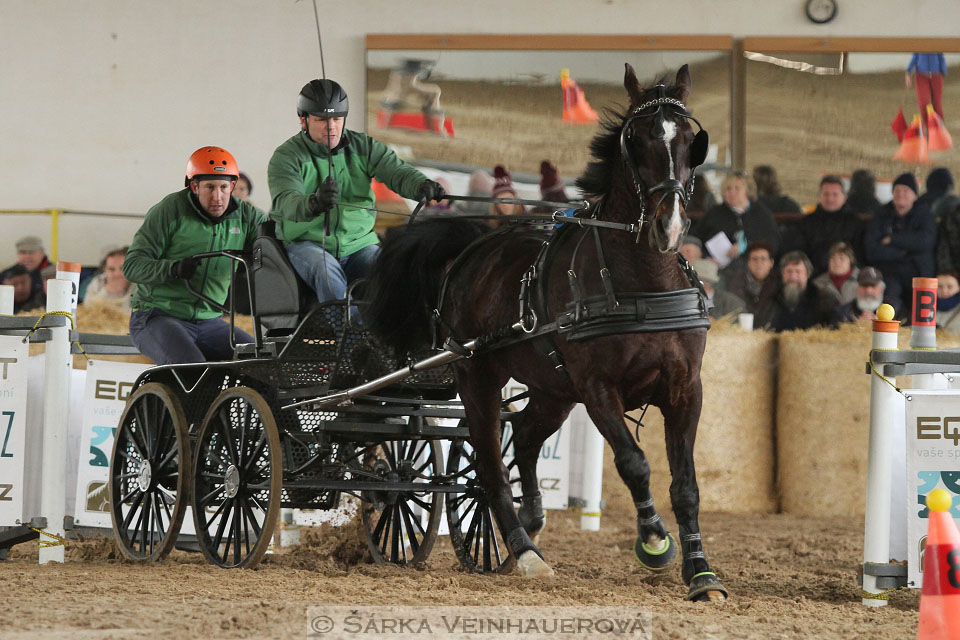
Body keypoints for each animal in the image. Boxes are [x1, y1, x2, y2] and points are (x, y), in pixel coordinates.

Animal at [364, 63, 724, 600]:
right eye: (636, 139)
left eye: (687, 139)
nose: (669, 224)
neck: (642, 285)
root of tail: (474, 246)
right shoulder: (598, 390)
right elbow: (634, 463)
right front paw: (654, 542)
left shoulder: (685, 389)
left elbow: (686, 487)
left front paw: (700, 573)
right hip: (479, 379)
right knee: (491, 463)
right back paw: (524, 550)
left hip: (553, 389)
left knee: (525, 436)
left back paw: (531, 517)